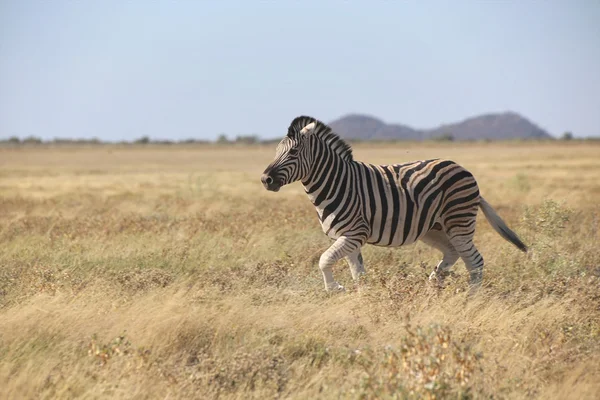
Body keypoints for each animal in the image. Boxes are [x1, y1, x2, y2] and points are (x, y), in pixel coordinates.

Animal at [260, 114, 528, 292]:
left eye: (293, 153)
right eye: (276, 152)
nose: (265, 179)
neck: (337, 182)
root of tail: (464, 169)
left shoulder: (355, 233)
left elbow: (323, 259)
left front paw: (335, 289)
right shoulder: (347, 237)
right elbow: (357, 273)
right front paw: (362, 298)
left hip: (458, 222)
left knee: (475, 261)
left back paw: (470, 297)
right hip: (433, 228)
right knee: (453, 253)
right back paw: (434, 282)